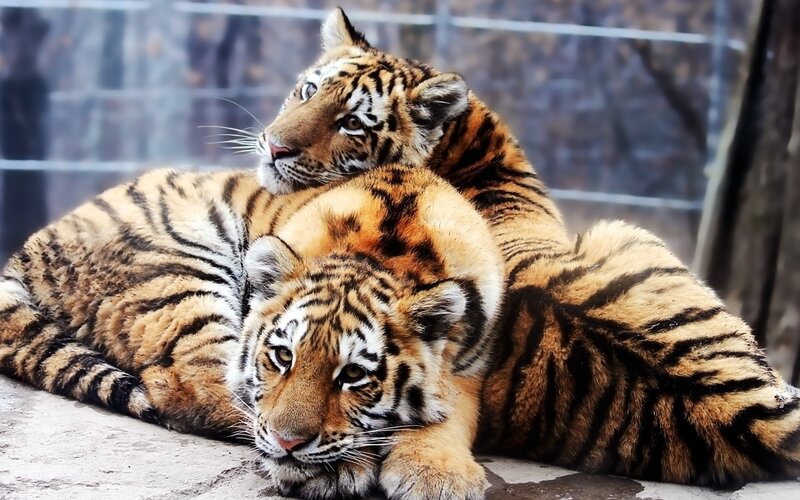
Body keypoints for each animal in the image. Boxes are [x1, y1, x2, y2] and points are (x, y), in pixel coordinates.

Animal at [0, 164, 504, 499]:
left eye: (353, 376)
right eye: (283, 356)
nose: (287, 444)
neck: (387, 254)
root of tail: (31, 245)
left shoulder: (472, 364)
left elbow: (449, 413)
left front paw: (437, 476)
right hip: (181, 272)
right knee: (194, 389)